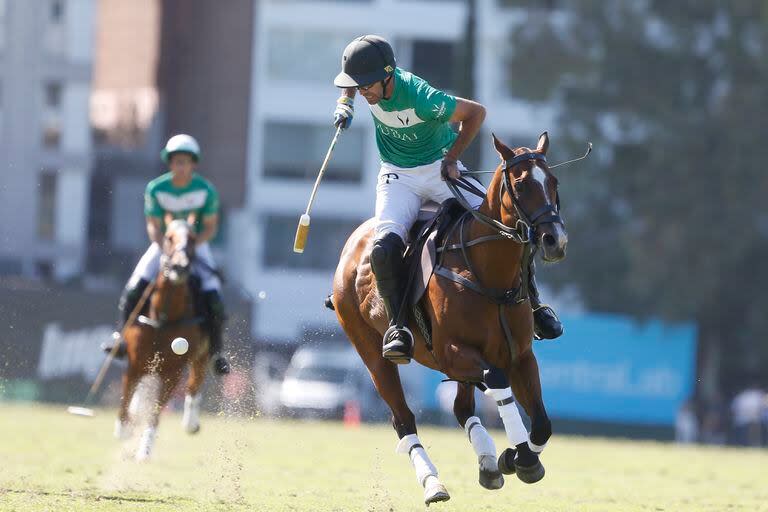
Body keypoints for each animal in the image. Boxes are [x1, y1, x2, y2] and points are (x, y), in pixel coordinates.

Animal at [114, 219, 210, 460]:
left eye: (193, 239)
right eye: (169, 237)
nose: (180, 267)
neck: (165, 316)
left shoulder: (172, 372)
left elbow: (156, 411)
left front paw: (145, 450)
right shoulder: (135, 362)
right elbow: (125, 398)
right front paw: (124, 430)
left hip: (202, 355)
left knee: (194, 384)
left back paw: (190, 423)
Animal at [332, 132, 568, 504]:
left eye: (553, 182)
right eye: (521, 184)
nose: (555, 240)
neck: (488, 273)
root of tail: (354, 242)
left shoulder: (520, 355)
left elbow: (543, 423)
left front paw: (512, 457)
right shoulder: (452, 352)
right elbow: (496, 379)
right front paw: (520, 457)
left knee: (461, 409)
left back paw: (488, 464)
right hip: (372, 353)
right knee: (403, 419)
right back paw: (434, 484)